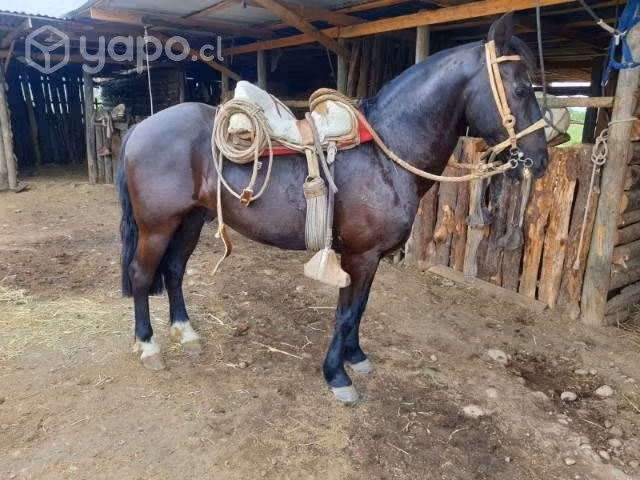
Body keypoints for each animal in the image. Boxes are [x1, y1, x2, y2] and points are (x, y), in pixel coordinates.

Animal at [117, 14, 548, 404]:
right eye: (521, 88)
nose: (539, 160)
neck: (387, 150)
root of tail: (140, 128)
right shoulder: (360, 255)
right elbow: (345, 312)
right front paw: (337, 376)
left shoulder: (370, 257)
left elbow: (359, 308)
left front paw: (355, 357)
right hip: (157, 226)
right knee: (141, 275)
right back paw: (148, 345)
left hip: (190, 220)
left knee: (174, 270)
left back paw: (186, 333)